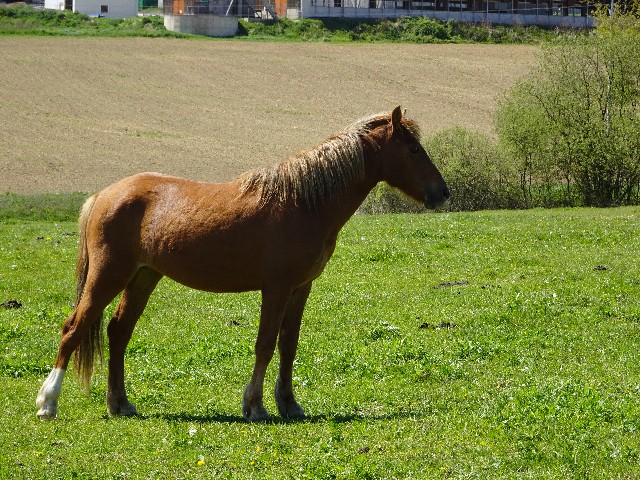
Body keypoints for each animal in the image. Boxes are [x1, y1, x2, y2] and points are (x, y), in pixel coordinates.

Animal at [36, 106, 450, 421]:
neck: (304, 202)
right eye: (414, 149)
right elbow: (265, 344)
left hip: (143, 277)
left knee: (118, 332)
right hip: (108, 275)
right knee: (73, 328)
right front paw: (255, 406)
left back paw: (120, 404)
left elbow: (288, 344)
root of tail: (104, 195)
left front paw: (289, 404)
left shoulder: (301, 287)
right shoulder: (277, 288)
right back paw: (47, 403)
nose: (442, 193)